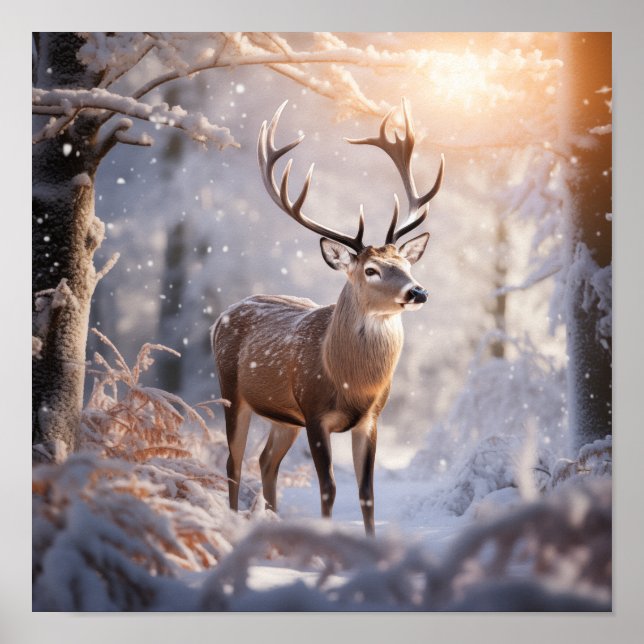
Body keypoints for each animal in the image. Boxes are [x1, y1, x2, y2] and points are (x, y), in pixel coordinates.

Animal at [211, 99, 444, 535]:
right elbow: (329, 490)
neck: (351, 383)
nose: (417, 291)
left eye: (406, 262)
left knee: (265, 461)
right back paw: (233, 523)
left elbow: (367, 494)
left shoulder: (371, 418)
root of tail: (221, 316)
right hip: (232, 391)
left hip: (284, 418)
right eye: (371, 270)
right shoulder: (315, 411)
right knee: (233, 463)